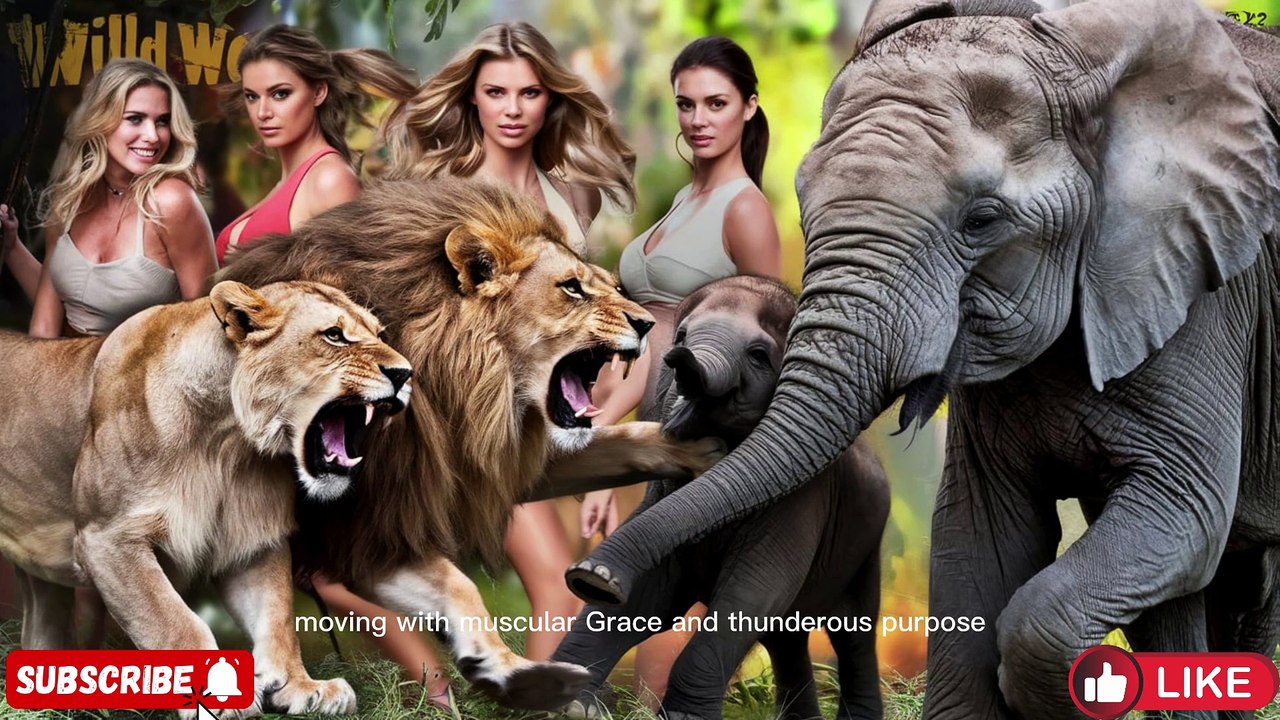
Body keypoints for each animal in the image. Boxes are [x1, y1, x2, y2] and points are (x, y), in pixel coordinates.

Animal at [0, 280, 412, 716]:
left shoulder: (252, 541)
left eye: (379, 334)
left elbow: (277, 619)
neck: (225, 437)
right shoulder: (106, 537)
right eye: (334, 335)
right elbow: (172, 620)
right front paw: (214, 697)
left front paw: (301, 687)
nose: (406, 373)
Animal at [216, 177, 722, 709]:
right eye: (572, 288)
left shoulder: (474, 468)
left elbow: (621, 442)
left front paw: (699, 448)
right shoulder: (366, 527)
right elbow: (458, 585)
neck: (462, 393)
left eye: (612, 286)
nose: (648, 324)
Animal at [553, 275, 888, 720]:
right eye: (681, 335)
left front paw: (683, 717)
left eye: (759, 356)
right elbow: (650, 593)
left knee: (852, 632)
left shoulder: (804, 498)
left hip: (865, 546)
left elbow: (752, 589)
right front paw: (574, 705)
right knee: (785, 636)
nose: (584, 576)